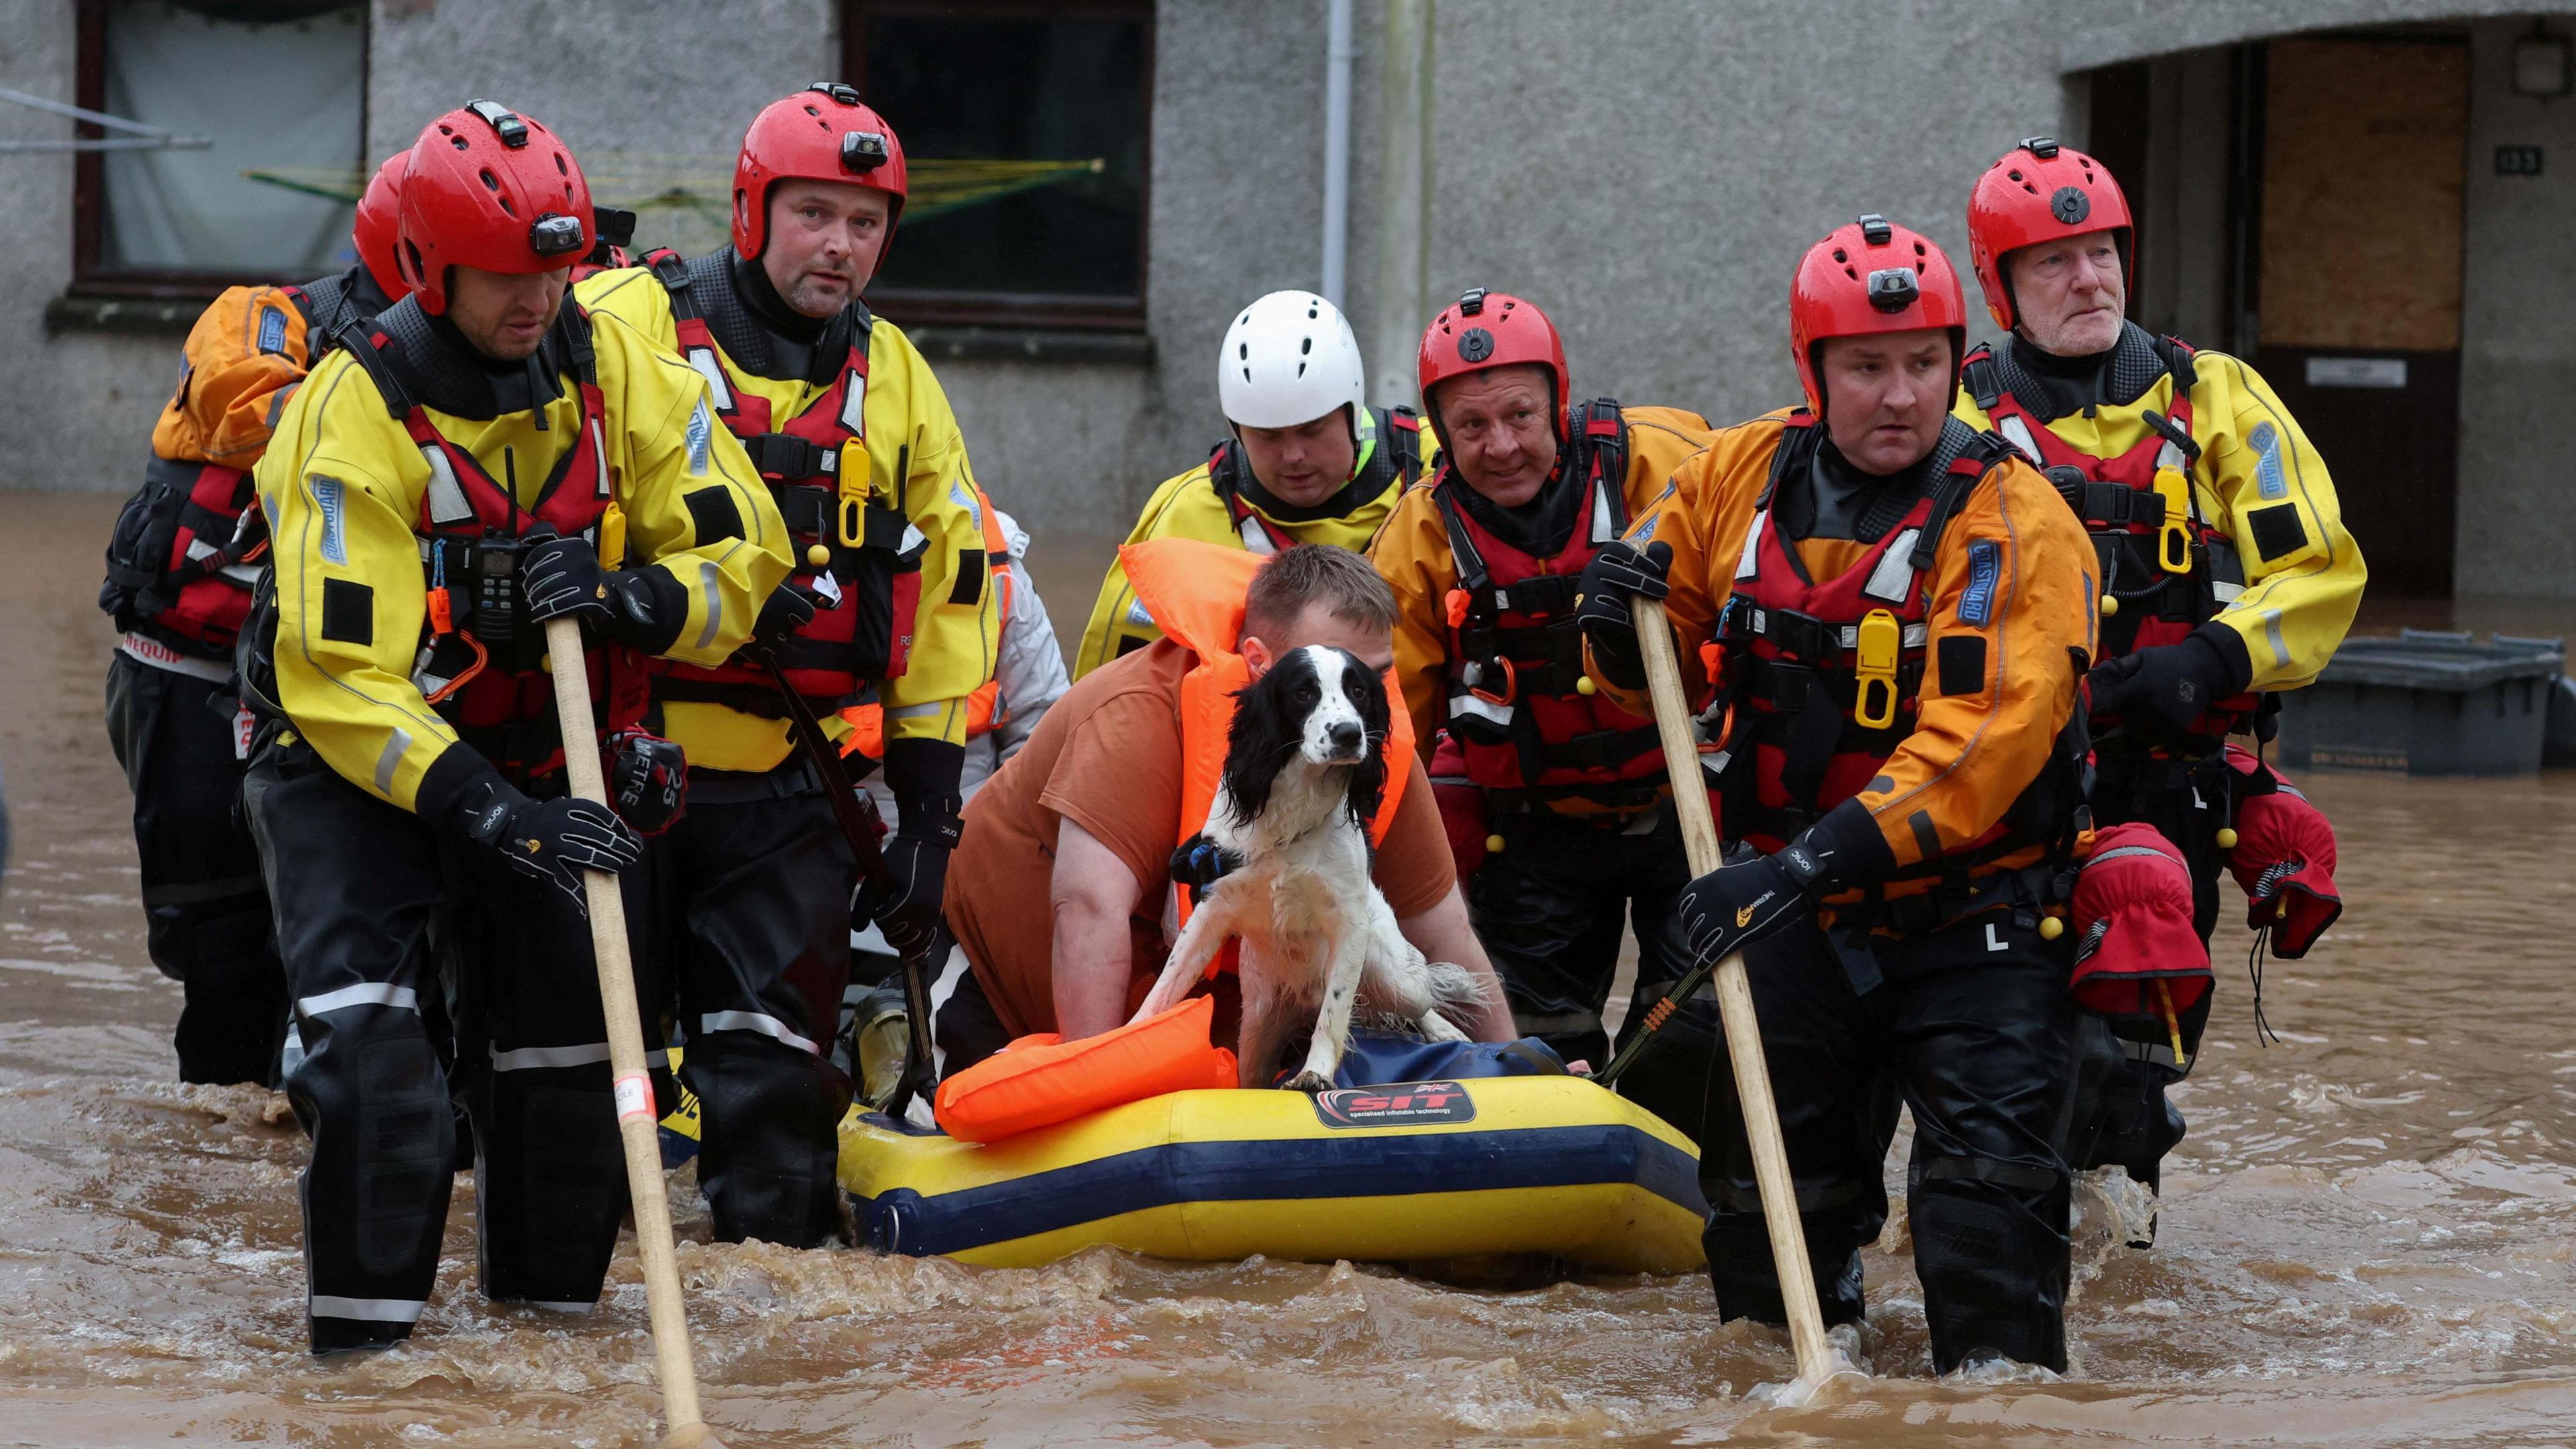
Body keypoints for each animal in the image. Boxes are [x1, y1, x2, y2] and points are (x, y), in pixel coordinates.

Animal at [1133, 637, 1483, 1087]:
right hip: (1258, 1036)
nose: (1349, 734)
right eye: (1303, 693)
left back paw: (1445, 1030)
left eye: (1359, 692)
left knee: (1422, 1000)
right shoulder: (1213, 908)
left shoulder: (1350, 923)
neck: (1293, 816)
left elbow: (1333, 1014)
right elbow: (1164, 987)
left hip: (1396, 976)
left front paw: (1315, 1072)